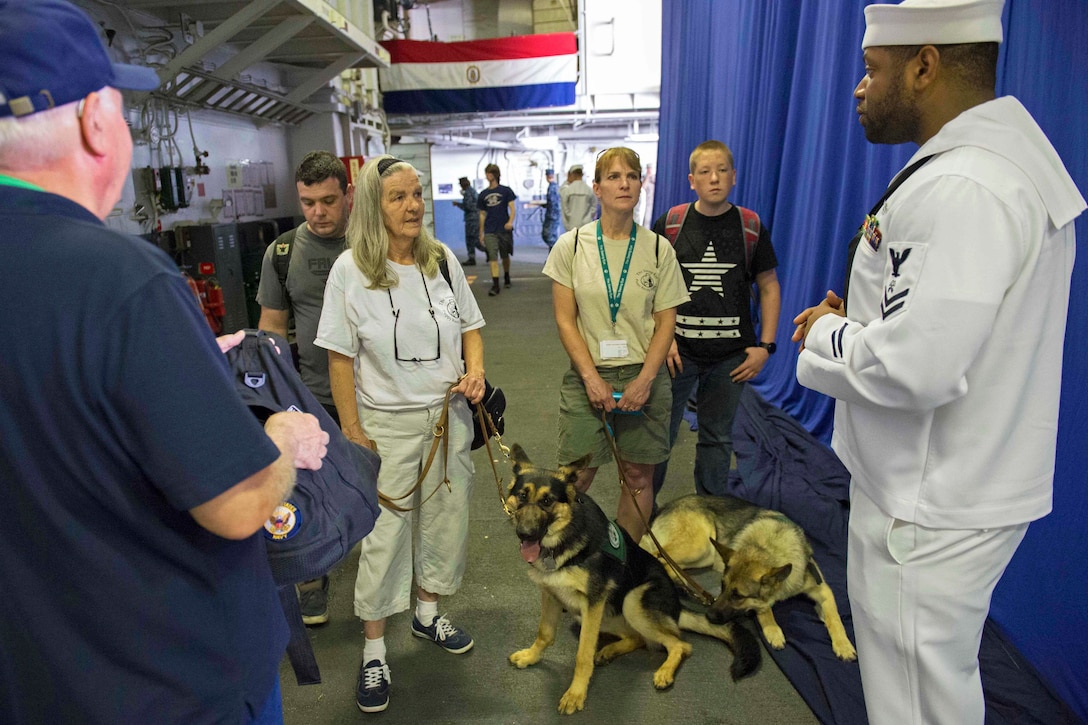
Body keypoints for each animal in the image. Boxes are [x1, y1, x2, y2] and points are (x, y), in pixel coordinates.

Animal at [504, 444, 761, 714]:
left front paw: (576, 694)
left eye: (547, 501)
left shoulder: (593, 603)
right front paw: (531, 656)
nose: (525, 534)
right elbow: (545, 633)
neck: (565, 537)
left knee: (680, 644)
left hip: (631, 601)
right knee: (637, 637)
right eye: (522, 496)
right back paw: (610, 650)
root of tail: (678, 607)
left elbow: (583, 655)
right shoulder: (552, 594)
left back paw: (664, 671)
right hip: (590, 615)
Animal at [635, 494, 857, 657]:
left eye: (738, 596)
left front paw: (843, 644)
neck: (768, 549)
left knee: (667, 562)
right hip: (699, 546)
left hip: (704, 554)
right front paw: (773, 629)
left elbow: (834, 615)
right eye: (722, 586)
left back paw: (681, 583)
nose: (708, 616)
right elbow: (765, 607)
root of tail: (663, 510)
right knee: (658, 556)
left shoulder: (822, 589)